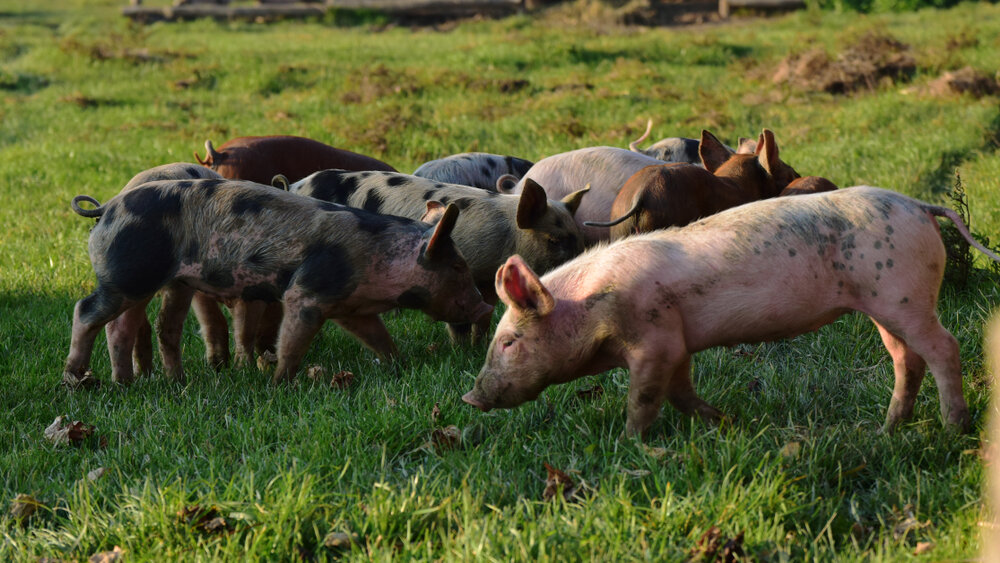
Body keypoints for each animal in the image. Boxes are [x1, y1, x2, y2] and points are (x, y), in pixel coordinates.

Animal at [64, 181, 490, 388]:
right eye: (457, 267)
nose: (486, 305)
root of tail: (108, 208)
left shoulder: (350, 308)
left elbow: (378, 337)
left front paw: (398, 365)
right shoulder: (307, 293)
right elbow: (292, 342)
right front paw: (280, 383)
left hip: (161, 281)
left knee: (133, 326)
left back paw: (141, 383)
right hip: (129, 274)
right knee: (85, 311)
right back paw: (76, 379)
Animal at [462, 187, 1000, 438]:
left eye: (508, 341)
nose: (470, 396)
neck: (596, 306)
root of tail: (918, 205)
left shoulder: (654, 338)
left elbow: (646, 397)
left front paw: (629, 441)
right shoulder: (677, 343)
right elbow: (680, 393)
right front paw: (726, 424)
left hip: (904, 297)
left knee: (943, 347)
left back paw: (953, 427)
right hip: (883, 306)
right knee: (905, 359)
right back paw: (886, 430)